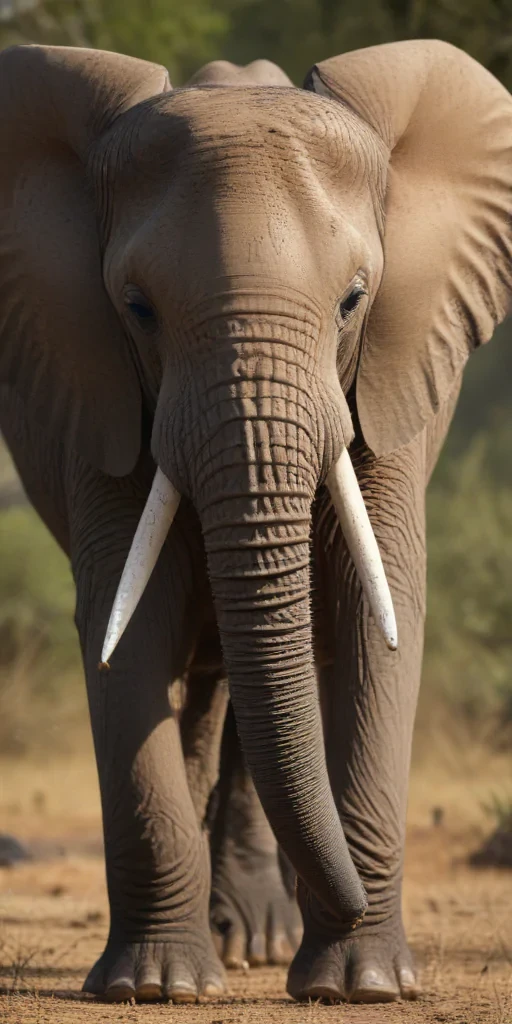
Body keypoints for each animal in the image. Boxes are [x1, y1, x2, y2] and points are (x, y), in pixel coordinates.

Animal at [0, 39, 511, 1006]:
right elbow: (132, 625)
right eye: (137, 307)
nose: (349, 895)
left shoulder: (390, 380)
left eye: (353, 299)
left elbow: (370, 615)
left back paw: (259, 946)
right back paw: (220, 949)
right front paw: (156, 989)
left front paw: (362, 986)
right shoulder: (95, 385)